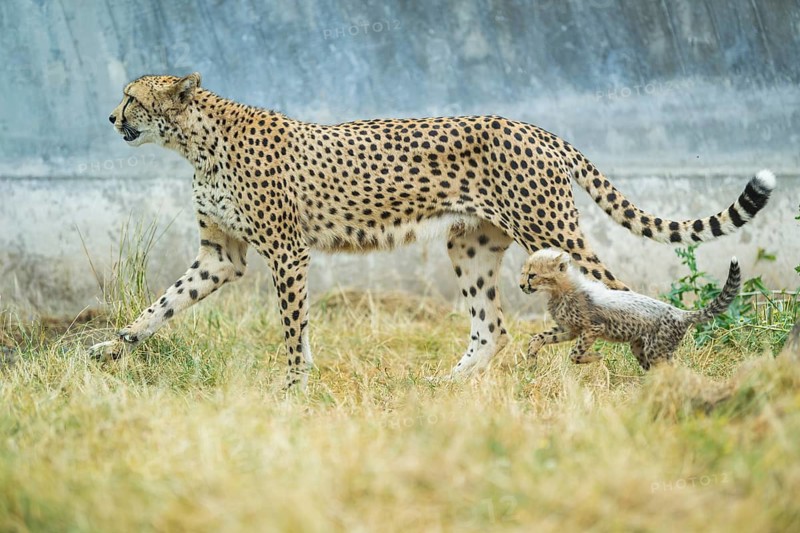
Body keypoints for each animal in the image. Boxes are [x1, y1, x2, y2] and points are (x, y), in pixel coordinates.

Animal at [520, 248, 742, 369]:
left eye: (532, 275)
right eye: (524, 273)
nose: (521, 286)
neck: (561, 290)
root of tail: (680, 312)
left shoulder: (593, 328)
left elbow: (575, 353)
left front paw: (595, 357)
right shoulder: (570, 330)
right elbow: (539, 337)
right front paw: (531, 359)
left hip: (657, 351)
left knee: (673, 370)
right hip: (640, 348)